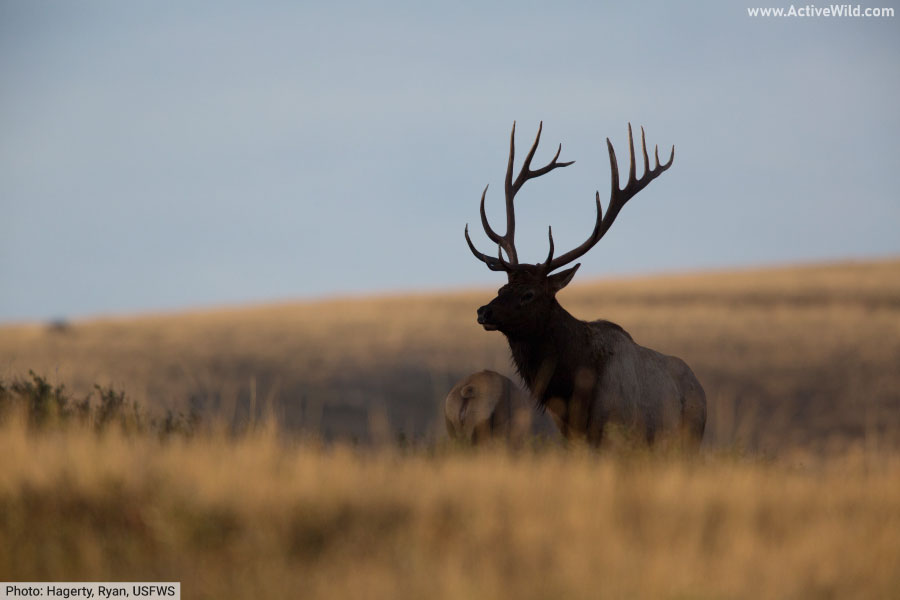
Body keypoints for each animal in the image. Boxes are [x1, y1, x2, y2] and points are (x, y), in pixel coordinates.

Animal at [464, 122, 706, 449]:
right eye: (501, 289)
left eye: (529, 294)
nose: (484, 312)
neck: (572, 389)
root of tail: (700, 389)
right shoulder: (571, 436)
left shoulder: (617, 430)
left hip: (686, 436)